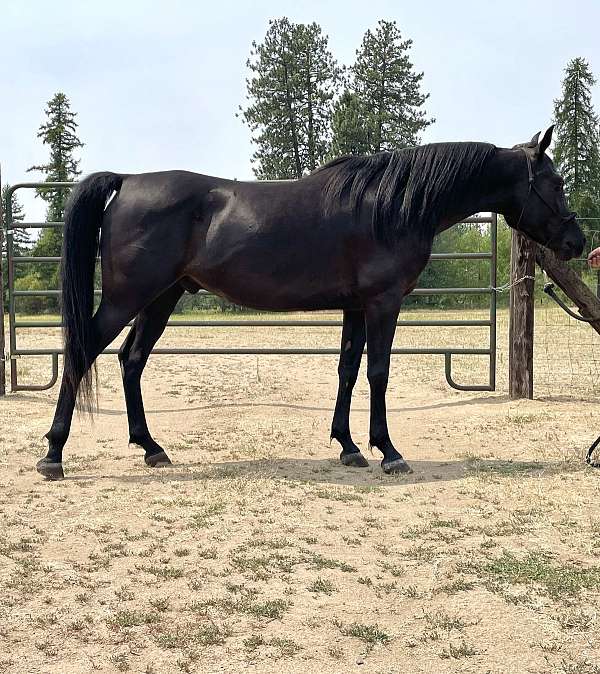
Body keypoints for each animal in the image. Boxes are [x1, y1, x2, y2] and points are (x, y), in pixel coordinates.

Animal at [36, 125, 585, 480]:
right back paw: (54, 454)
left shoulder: (356, 306)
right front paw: (388, 451)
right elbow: (378, 372)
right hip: (129, 298)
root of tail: (128, 180)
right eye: (555, 183)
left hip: (161, 298)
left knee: (131, 361)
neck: (392, 205)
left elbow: (347, 369)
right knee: (84, 352)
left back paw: (151, 448)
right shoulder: (383, 303)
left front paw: (348, 446)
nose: (577, 242)